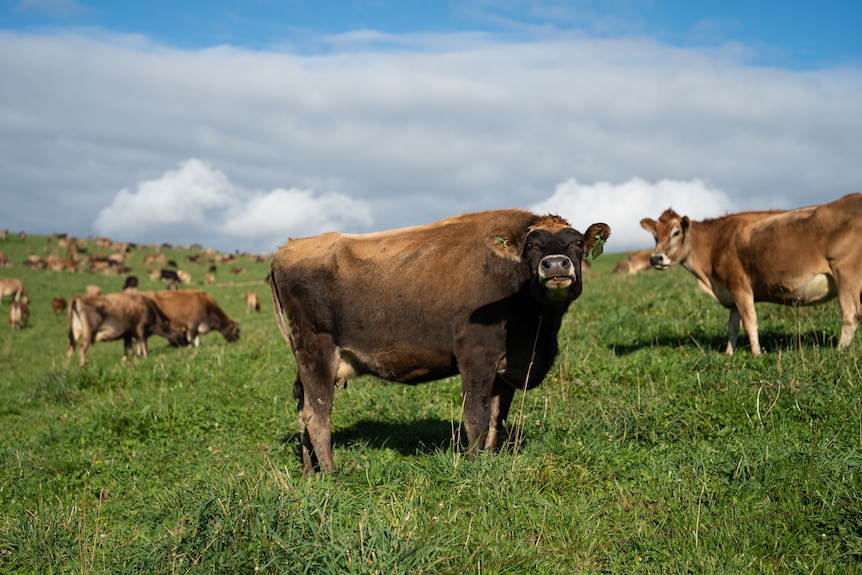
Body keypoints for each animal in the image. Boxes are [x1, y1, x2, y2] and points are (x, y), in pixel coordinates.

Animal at [270, 209, 611, 474]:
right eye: (530, 247)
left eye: (577, 242)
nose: (555, 265)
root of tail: (286, 249)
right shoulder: (476, 357)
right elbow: (476, 417)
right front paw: (475, 467)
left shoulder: (505, 370)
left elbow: (496, 419)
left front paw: (490, 462)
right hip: (317, 350)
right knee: (317, 415)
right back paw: (331, 475)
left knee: (303, 412)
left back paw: (309, 473)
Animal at [640, 193, 862, 356]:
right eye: (655, 235)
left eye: (676, 232)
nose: (656, 258)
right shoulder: (729, 292)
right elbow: (732, 327)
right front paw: (728, 354)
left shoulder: (740, 286)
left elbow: (750, 322)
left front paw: (757, 354)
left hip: (846, 274)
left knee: (850, 315)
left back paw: (839, 351)